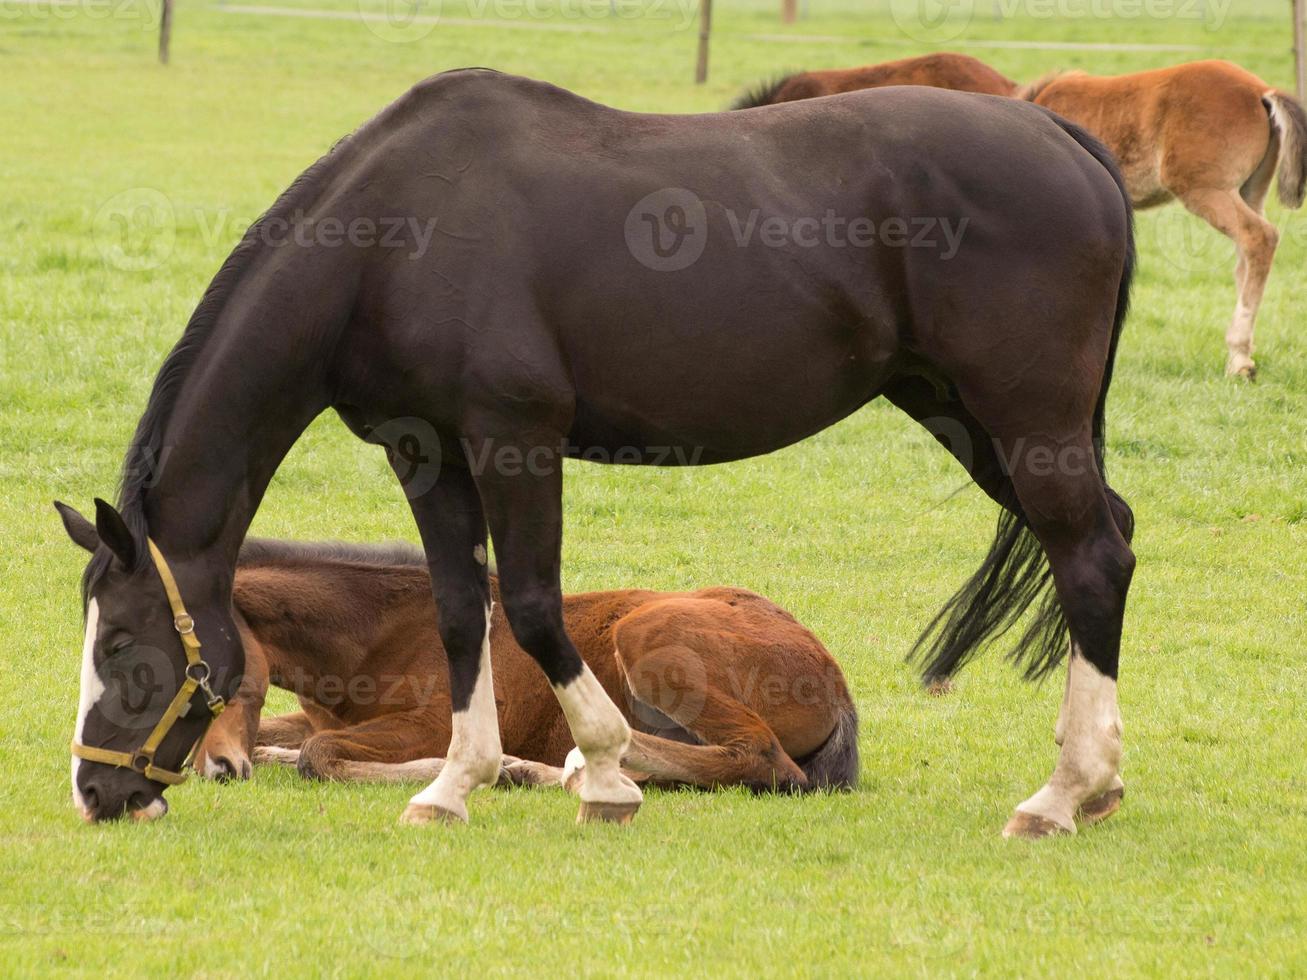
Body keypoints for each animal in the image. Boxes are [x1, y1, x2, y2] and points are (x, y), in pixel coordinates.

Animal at [179, 540, 862, 794]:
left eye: (206, 671)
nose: (220, 769)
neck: (380, 635)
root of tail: (837, 684)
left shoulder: (430, 722)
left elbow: (317, 756)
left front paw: (476, 766)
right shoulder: (319, 715)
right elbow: (298, 741)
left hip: (649, 634)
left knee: (763, 759)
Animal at [1024, 59, 1301, 378]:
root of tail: (1260, 91)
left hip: (1206, 190)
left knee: (1259, 237)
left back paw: (1240, 357)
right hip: (1251, 191)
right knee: (1246, 258)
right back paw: (1239, 355)